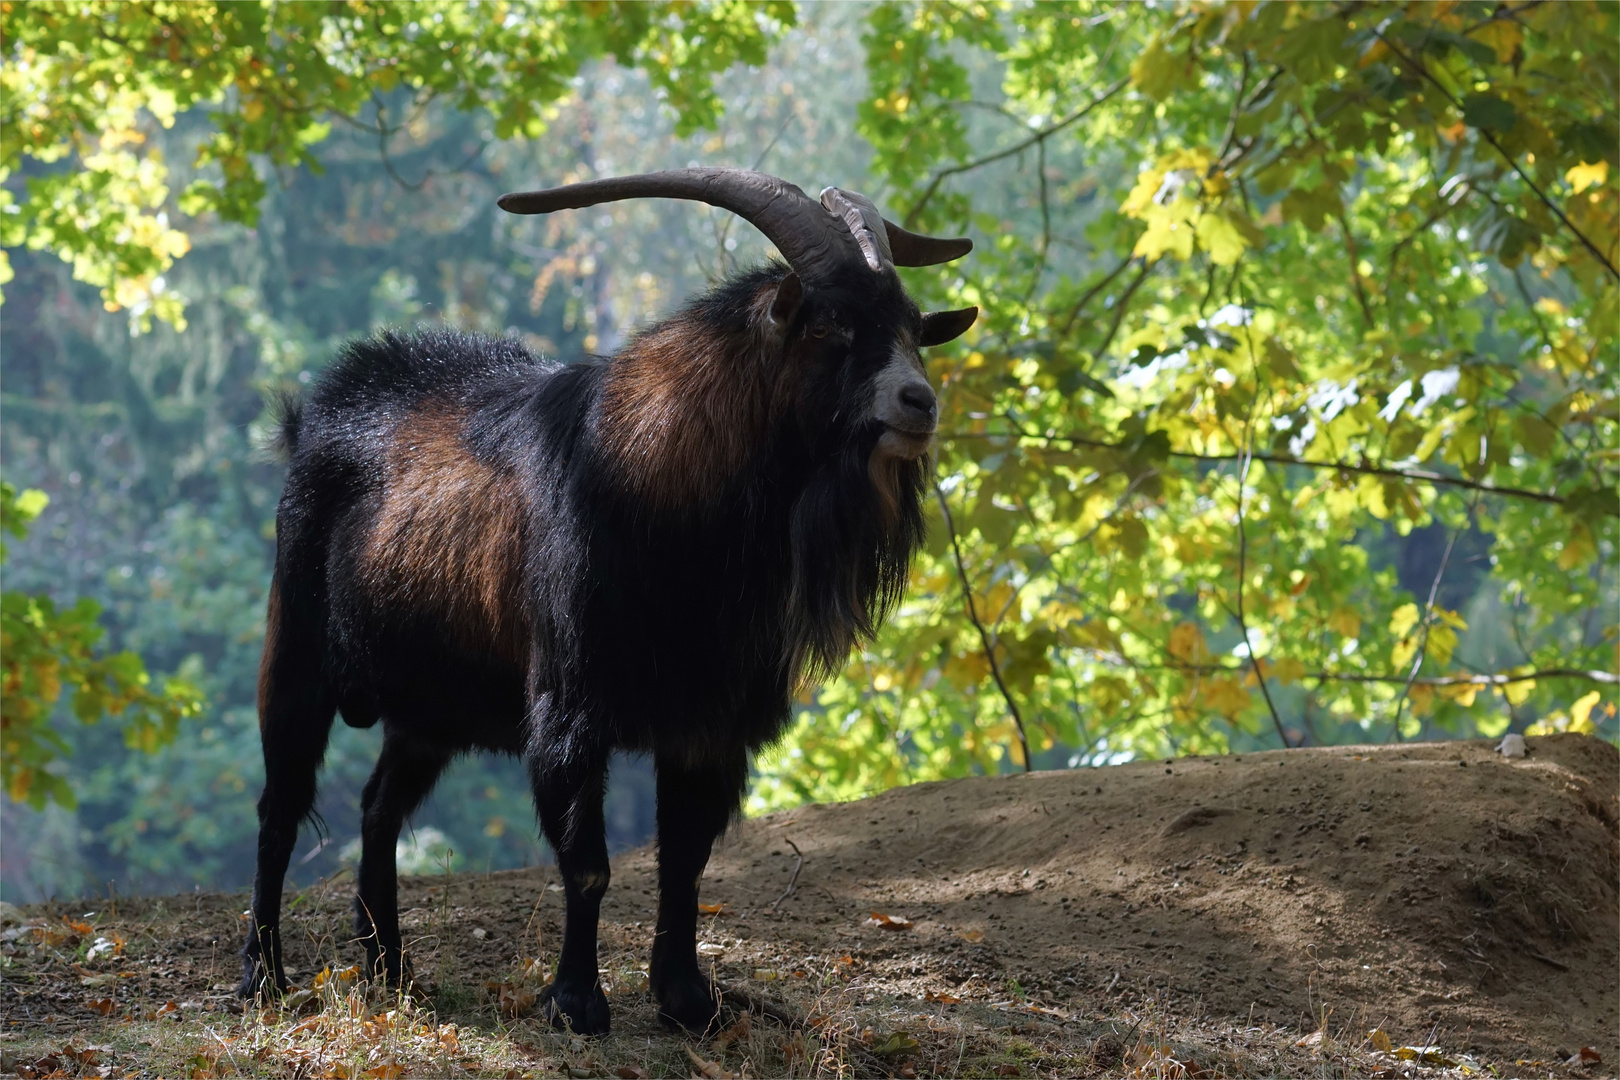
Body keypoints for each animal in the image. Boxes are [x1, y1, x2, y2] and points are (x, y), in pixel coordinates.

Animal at [239, 165, 972, 1036]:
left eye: (912, 327)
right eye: (831, 327)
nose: (918, 402)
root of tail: (314, 417)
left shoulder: (708, 717)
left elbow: (685, 860)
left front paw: (688, 1001)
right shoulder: (569, 706)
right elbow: (586, 862)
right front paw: (577, 1003)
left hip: (430, 710)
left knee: (378, 807)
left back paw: (390, 968)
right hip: (297, 655)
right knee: (280, 808)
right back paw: (262, 977)